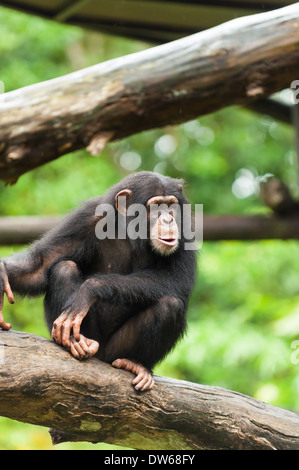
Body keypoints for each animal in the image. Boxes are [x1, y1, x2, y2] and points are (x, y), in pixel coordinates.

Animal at [0, 171, 198, 392]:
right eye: (156, 206)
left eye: (171, 205)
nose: (169, 218)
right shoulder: (84, 219)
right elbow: (41, 265)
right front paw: (2, 273)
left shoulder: (185, 228)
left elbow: (176, 280)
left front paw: (89, 289)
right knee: (64, 268)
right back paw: (75, 342)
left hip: (113, 352)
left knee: (170, 305)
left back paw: (136, 364)